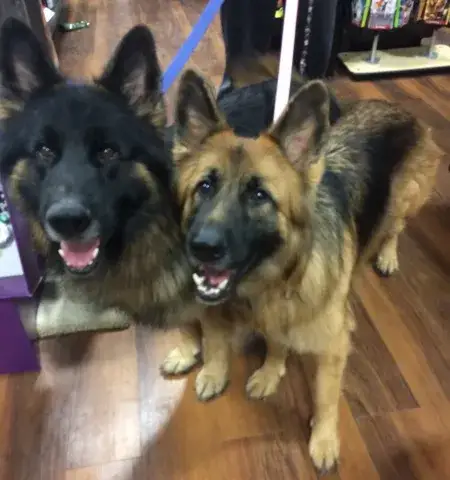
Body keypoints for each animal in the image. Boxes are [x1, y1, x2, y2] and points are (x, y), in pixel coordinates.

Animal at [0, 18, 241, 401]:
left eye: (108, 152)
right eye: (44, 151)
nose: (68, 221)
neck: (156, 223)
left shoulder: (213, 290)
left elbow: (214, 333)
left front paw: (214, 373)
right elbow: (187, 324)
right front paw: (188, 352)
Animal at [171, 61, 441, 471]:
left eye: (259, 195)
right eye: (204, 187)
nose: (202, 248)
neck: (277, 280)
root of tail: (393, 107)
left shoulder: (334, 347)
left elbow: (327, 398)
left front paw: (324, 439)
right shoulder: (278, 316)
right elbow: (277, 342)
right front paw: (271, 370)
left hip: (404, 201)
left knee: (395, 228)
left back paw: (387, 254)